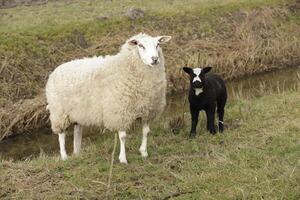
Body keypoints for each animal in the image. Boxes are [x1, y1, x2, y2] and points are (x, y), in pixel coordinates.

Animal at [44, 32, 171, 163]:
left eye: (158, 44)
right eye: (140, 45)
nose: (155, 59)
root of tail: (56, 69)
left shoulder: (147, 110)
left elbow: (146, 132)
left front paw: (144, 152)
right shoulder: (120, 112)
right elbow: (123, 136)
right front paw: (123, 159)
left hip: (77, 113)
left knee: (77, 132)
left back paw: (77, 153)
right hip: (59, 113)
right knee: (61, 135)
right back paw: (64, 156)